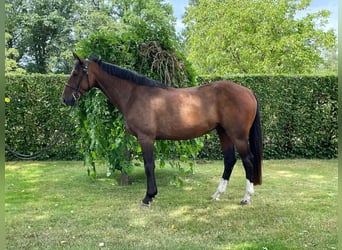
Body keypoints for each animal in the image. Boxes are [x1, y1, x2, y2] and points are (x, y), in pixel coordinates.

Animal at [61, 52, 264, 205]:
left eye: (75, 73)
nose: (65, 99)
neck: (134, 95)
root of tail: (248, 91)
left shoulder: (146, 138)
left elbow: (149, 165)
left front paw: (148, 197)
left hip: (238, 136)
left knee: (248, 160)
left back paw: (246, 198)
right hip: (224, 133)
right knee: (229, 160)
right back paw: (217, 194)